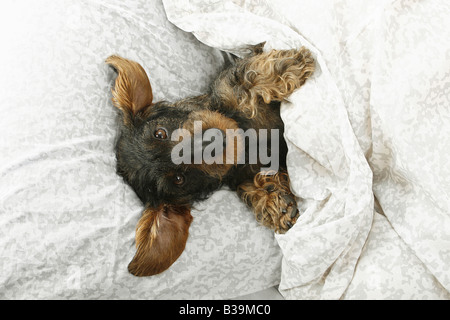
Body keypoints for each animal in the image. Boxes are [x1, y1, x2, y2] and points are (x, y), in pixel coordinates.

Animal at [107, 43, 314, 276]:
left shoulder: (229, 89)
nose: (214, 142)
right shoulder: (244, 174)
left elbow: (247, 78)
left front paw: (290, 63)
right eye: (179, 179)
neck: (247, 141)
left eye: (160, 133)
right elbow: (254, 185)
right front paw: (276, 204)